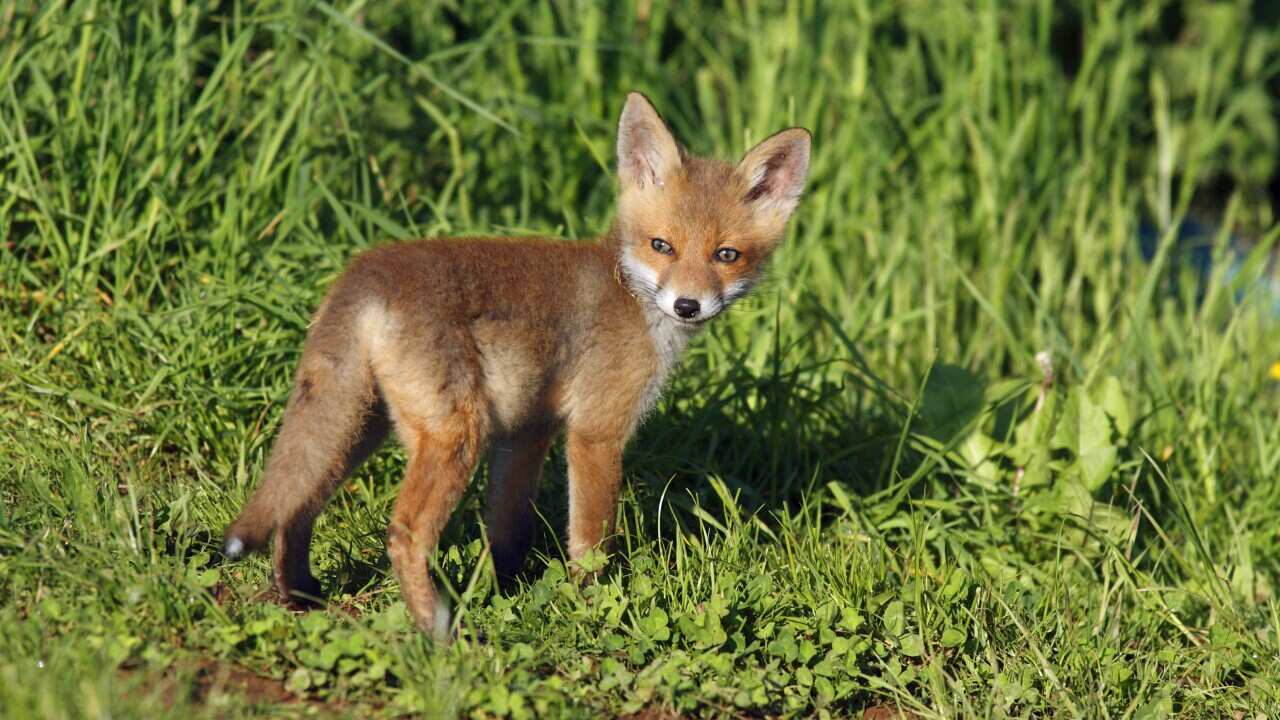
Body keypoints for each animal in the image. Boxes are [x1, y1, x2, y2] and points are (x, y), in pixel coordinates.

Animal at [223, 92, 811, 639]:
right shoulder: (595, 432)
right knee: (404, 532)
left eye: (726, 255)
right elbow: (591, 541)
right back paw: (438, 631)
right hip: (454, 433)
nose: (688, 305)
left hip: (358, 424)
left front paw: (506, 592)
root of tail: (367, 270)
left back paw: (303, 597)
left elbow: (507, 531)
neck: (631, 291)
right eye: (662, 245)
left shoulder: (527, 429)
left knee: (296, 506)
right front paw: (591, 608)